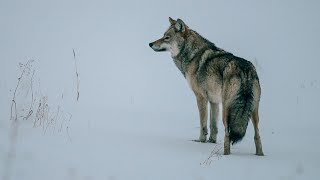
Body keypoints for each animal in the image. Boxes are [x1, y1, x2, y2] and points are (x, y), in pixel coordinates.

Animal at [149, 16, 264, 155]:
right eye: (163, 36)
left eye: (166, 37)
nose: (150, 44)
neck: (192, 55)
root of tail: (245, 70)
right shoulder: (214, 101)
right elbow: (213, 126)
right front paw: (211, 142)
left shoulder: (201, 97)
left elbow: (203, 124)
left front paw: (200, 141)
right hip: (253, 110)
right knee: (257, 135)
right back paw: (259, 155)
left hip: (228, 110)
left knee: (228, 135)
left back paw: (226, 155)